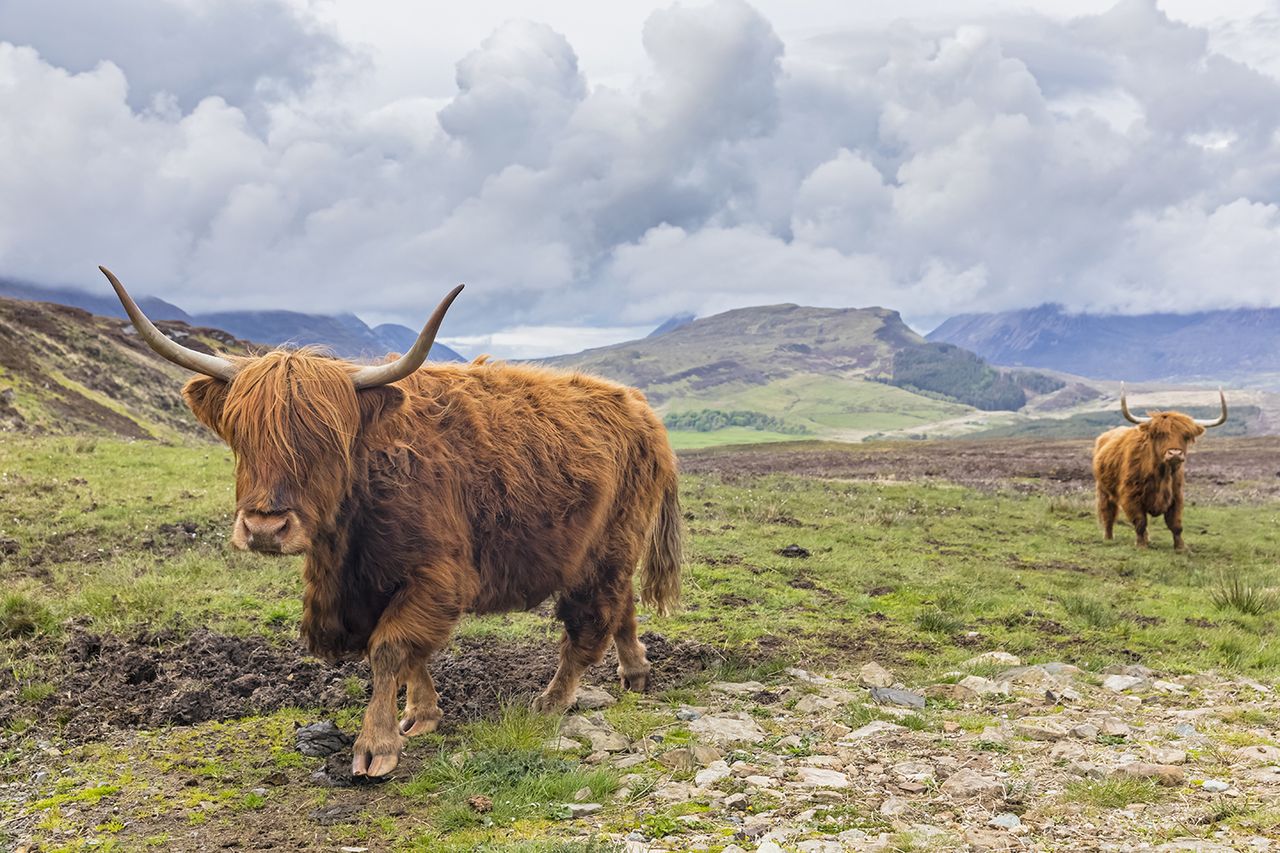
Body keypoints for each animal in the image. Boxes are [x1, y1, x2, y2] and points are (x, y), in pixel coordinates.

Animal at [99, 266, 683, 778]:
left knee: (589, 625)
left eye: (327, 439)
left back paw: (551, 701)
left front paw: (375, 747)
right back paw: (636, 673)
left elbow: (390, 648)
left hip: (606, 547)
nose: (265, 528)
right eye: (240, 435)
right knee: (623, 608)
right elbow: (405, 654)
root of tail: (640, 408)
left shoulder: (436, 575)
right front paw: (421, 715)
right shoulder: (371, 587)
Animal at [1092, 383, 1227, 551]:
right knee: (1108, 513)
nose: (1175, 453)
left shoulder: (1176, 496)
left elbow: (1175, 524)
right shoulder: (1131, 495)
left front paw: (1182, 548)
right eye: (1160, 434)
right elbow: (1140, 521)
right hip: (1103, 489)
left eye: (1186, 436)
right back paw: (1108, 537)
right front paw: (1141, 545)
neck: (1161, 474)